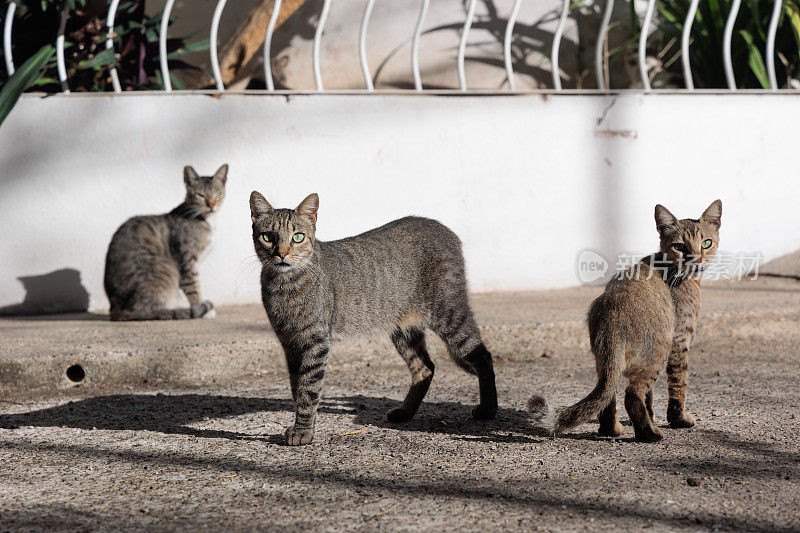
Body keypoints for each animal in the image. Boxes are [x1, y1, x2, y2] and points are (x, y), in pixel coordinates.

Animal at [104, 164, 228, 320]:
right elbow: (193, 288)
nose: (212, 205)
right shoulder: (186, 262)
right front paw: (202, 309)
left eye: (218, 194)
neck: (206, 220)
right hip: (166, 267)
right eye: (200, 195)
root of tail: (114, 307)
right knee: (143, 310)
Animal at [252, 191, 500, 444]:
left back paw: (488, 409)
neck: (284, 287)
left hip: (449, 313)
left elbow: (309, 388)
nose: (282, 253)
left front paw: (303, 431)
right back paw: (405, 412)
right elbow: (298, 387)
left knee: (482, 355)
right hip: (405, 330)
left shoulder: (316, 341)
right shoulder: (289, 342)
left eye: (298, 237)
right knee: (425, 367)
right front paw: (301, 425)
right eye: (268, 237)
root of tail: (442, 227)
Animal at [528, 200, 720, 440]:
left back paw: (612, 429)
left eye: (706, 242)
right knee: (632, 393)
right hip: (657, 352)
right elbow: (678, 384)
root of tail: (612, 317)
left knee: (608, 395)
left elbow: (650, 395)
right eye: (679, 246)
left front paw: (652, 415)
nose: (696, 260)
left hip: (606, 362)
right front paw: (679, 420)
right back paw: (649, 434)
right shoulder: (680, 340)